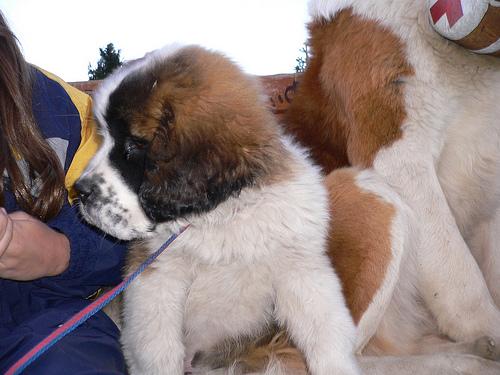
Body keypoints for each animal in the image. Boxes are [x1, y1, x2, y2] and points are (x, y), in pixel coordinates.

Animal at [75, 45, 360, 374]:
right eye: (103, 138)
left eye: (133, 146)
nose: (79, 191)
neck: (222, 215)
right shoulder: (156, 279)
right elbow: (158, 349)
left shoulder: (301, 269)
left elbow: (325, 333)